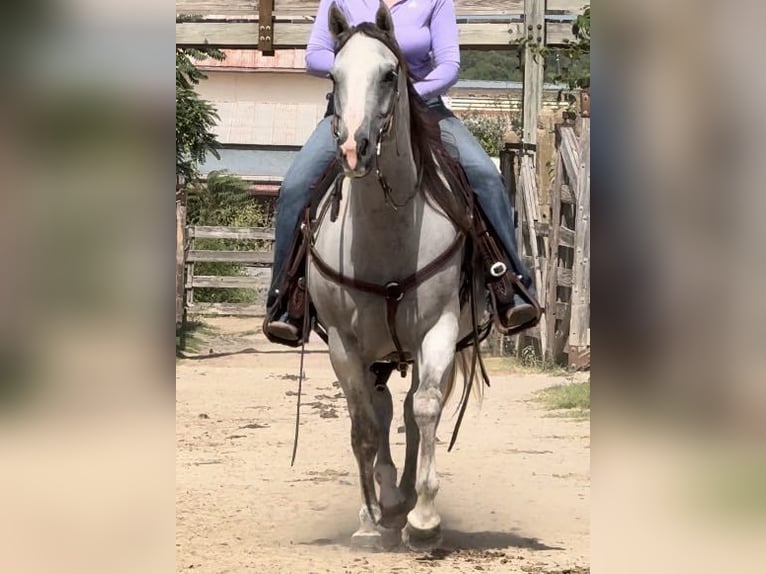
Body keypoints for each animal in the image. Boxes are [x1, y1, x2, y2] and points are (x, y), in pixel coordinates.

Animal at [305, 3, 487, 550]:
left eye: (390, 74)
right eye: (334, 77)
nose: (353, 150)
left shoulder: (440, 328)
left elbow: (425, 407)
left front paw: (424, 519)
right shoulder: (343, 342)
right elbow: (364, 423)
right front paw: (369, 520)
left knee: (407, 407)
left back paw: (404, 498)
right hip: (375, 353)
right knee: (380, 408)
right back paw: (386, 499)